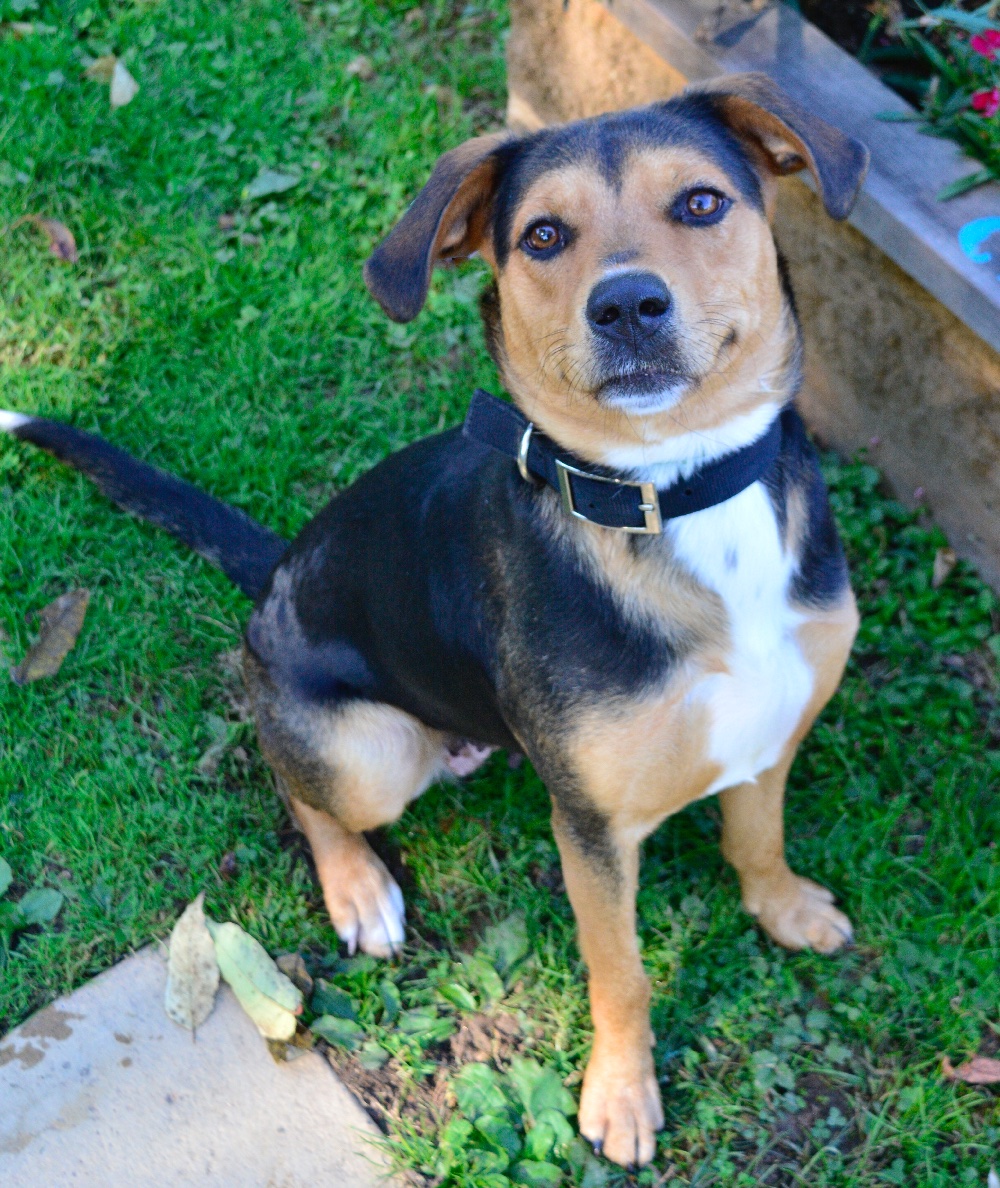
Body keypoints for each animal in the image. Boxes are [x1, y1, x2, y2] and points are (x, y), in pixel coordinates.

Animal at [1, 74, 864, 1168]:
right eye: (543, 236)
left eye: (703, 203)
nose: (627, 303)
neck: (677, 491)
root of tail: (274, 575)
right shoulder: (589, 828)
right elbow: (620, 971)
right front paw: (621, 1096)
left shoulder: (772, 724)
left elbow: (758, 835)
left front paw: (784, 906)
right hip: (365, 751)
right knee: (301, 790)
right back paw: (358, 889)